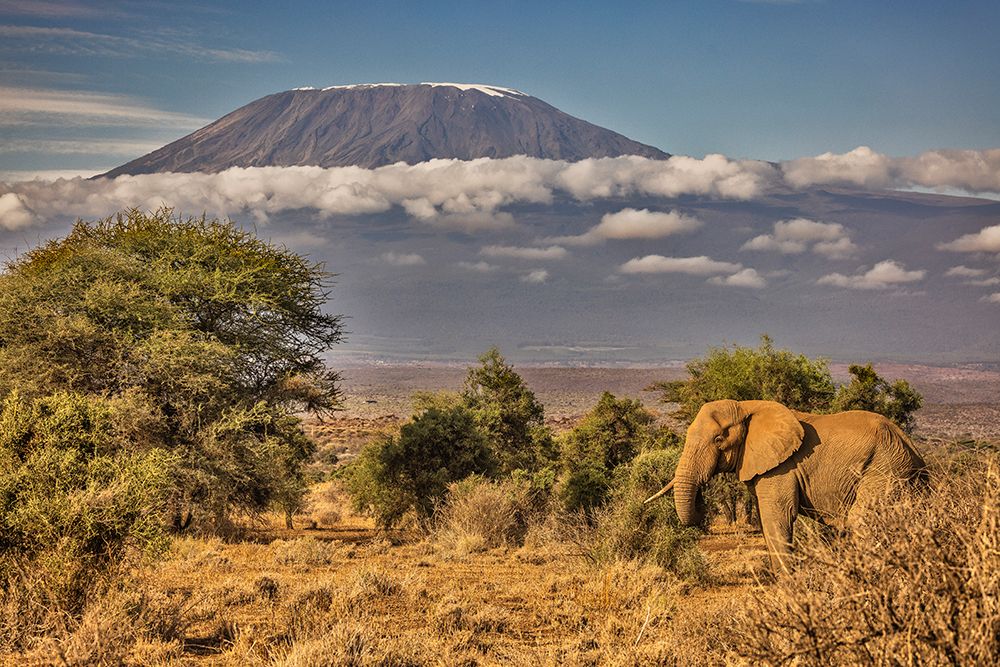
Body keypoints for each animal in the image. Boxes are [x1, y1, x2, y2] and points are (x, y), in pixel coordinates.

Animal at [645, 399, 927, 571]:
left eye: (718, 439)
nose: (701, 501)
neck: (746, 406)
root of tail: (912, 447)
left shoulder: (782, 467)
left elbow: (777, 516)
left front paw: (787, 586)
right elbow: (765, 518)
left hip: (886, 468)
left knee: (862, 521)